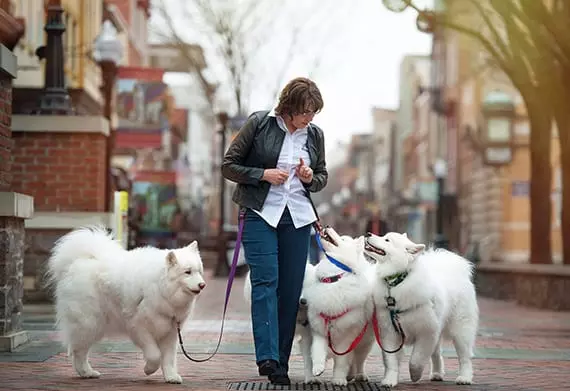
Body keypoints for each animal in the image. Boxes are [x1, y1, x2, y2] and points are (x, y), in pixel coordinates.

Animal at [46, 228, 206, 384]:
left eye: (199, 271)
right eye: (187, 272)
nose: (202, 285)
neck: (161, 288)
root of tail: (78, 262)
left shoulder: (170, 332)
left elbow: (168, 359)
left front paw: (171, 377)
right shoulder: (139, 327)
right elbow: (154, 355)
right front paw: (149, 369)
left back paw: (87, 373)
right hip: (89, 323)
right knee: (78, 351)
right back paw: (86, 372)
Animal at [304, 228, 374, 388]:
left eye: (342, 239)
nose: (327, 227)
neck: (333, 279)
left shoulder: (346, 338)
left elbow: (341, 362)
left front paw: (338, 379)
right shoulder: (320, 329)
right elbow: (317, 350)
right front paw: (318, 368)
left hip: (364, 342)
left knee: (359, 360)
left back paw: (359, 375)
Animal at [362, 234, 478, 388]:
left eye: (387, 240)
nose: (368, 234)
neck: (397, 281)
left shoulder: (426, 332)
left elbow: (416, 359)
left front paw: (415, 374)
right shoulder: (390, 333)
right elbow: (391, 361)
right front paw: (390, 380)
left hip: (460, 331)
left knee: (464, 357)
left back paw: (464, 378)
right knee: (437, 354)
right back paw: (437, 374)